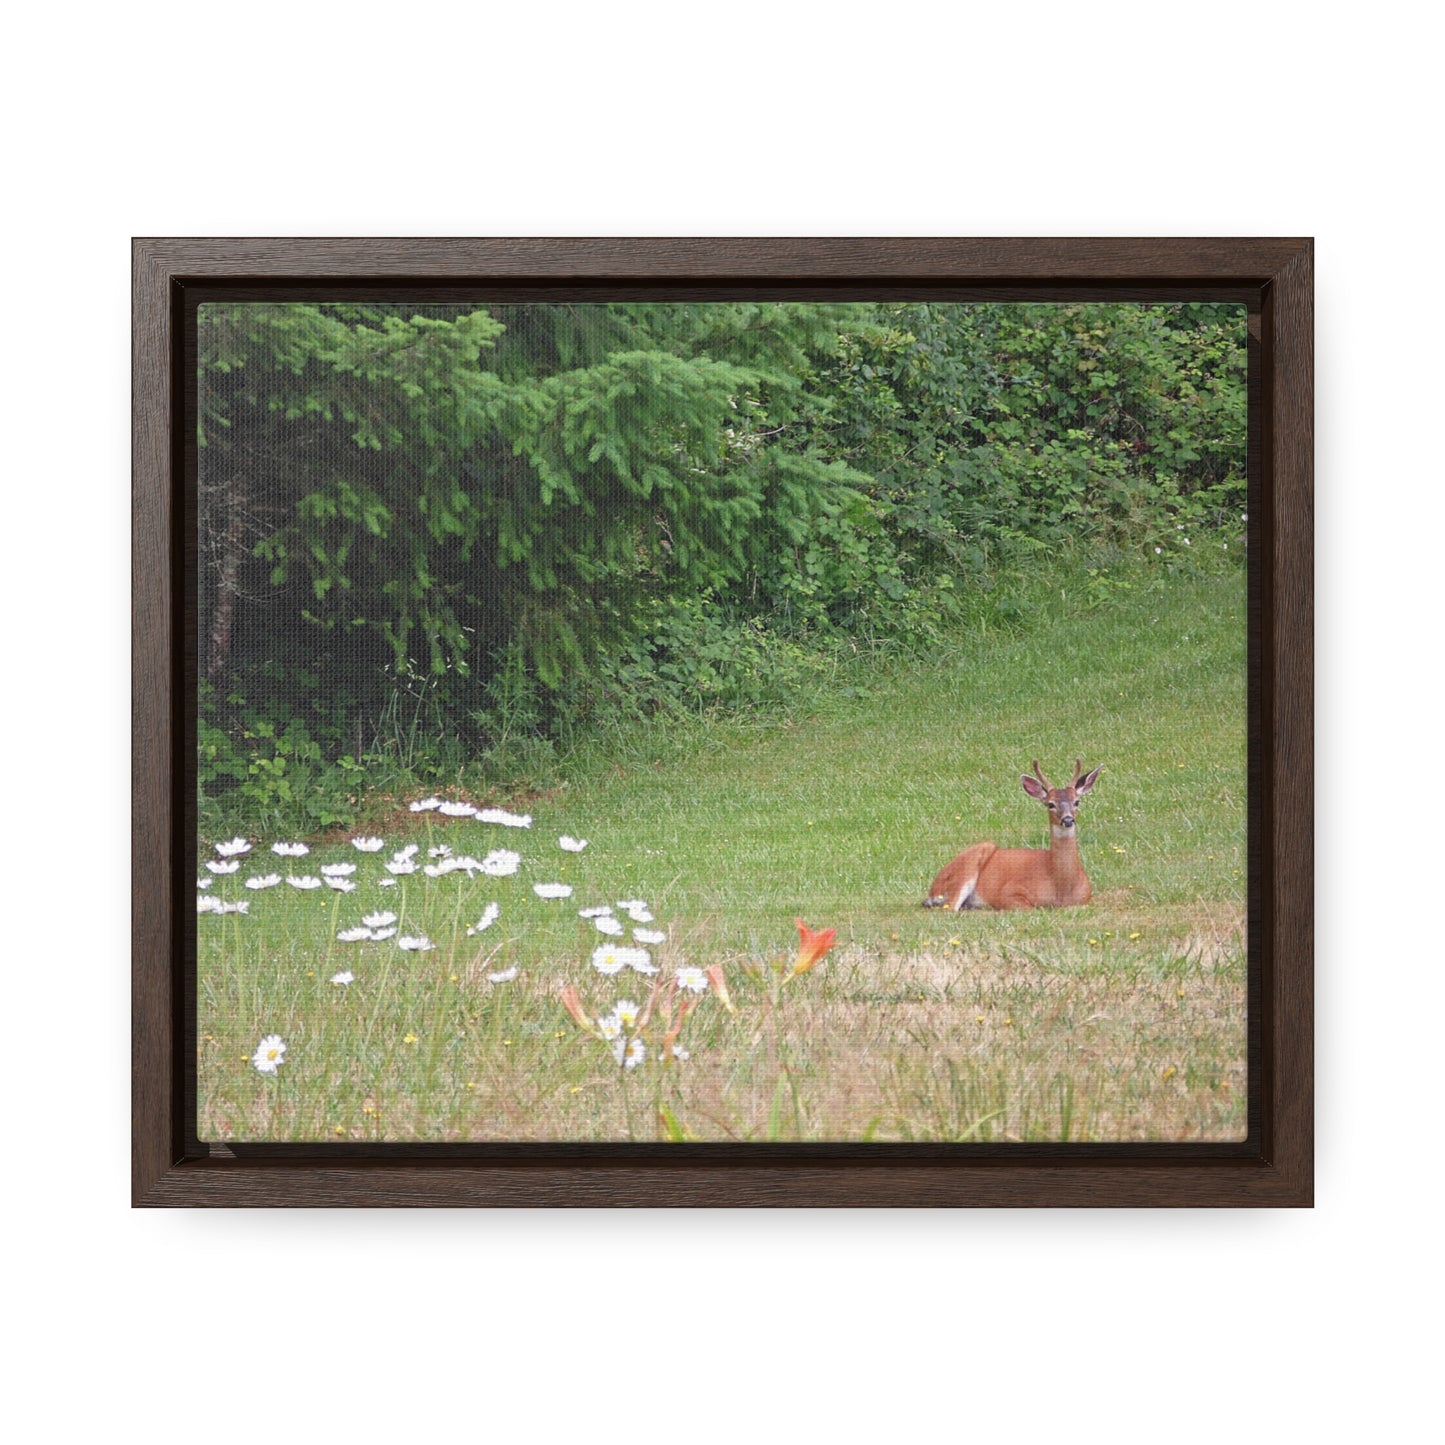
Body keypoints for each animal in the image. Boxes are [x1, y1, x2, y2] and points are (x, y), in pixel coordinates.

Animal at [924, 762, 1103, 907]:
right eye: (1050, 804)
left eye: (1077, 802)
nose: (1068, 819)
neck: (1061, 890)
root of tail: (932, 889)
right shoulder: (1007, 892)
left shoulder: (1086, 898)